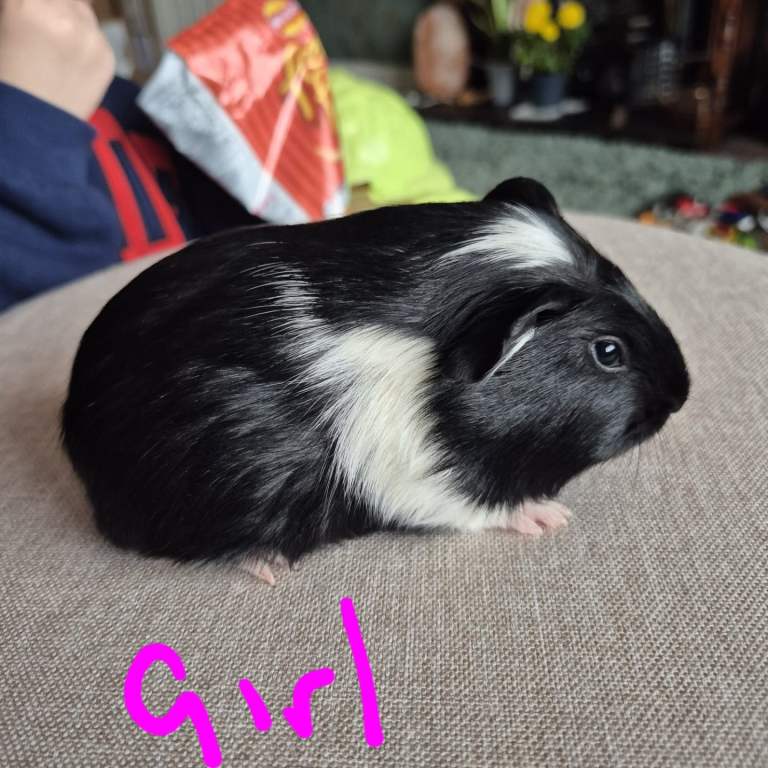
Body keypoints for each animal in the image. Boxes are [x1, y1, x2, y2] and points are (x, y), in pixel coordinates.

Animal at [62, 178, 689, 578]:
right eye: (608, 351)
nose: (680, 393)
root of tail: (77, 431)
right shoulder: (419, 483)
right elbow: (481, 508)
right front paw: (549, 517)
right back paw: (268, 565)